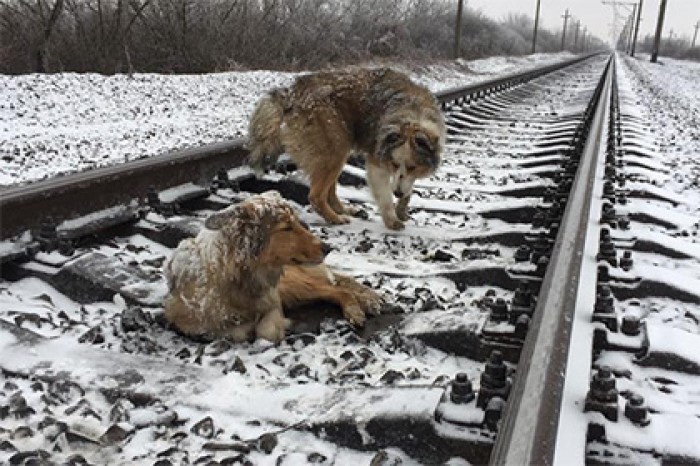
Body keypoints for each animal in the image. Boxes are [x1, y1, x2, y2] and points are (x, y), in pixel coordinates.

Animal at [163, 190, 382, 342]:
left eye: (297, 223)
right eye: (286, 228)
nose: (328, 248)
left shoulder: (274, 299)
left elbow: (265, 330)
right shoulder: (185, 321)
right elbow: (232, 331)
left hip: (292, 284)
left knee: (337, 289)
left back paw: (357, 309)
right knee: (336, 286)